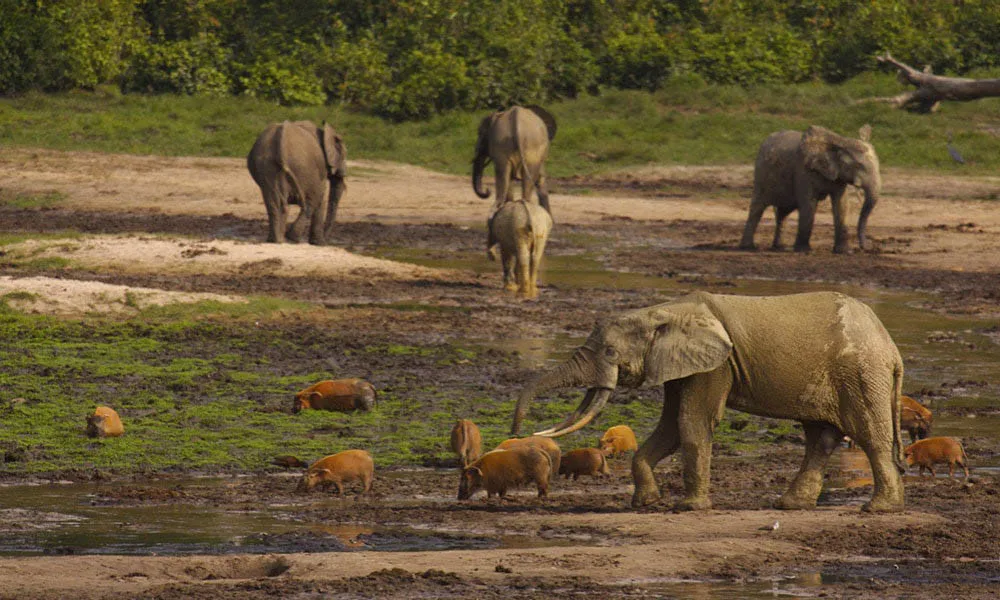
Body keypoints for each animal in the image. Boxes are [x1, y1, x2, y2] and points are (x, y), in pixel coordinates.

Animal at [472, 105, 560, 258]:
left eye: (480, 134)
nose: (487, 191)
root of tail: (517, 121)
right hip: (513, 147)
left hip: (508, 146)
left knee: (504, 184)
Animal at [512, 290, 912, 510]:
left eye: (610, 352)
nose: (516, 433)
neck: (663, 310)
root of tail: (892, 348)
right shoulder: (681, 366)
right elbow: (670, 428)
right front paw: (647, 503)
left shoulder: (715, 366)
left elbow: (692, 422)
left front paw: (687, 508)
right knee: (820, 437)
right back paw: (790, 505)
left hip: (860, 372)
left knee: (869, 434)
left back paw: (877, 510)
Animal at [740, 124, 880, 253]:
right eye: (859, 166)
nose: (867, 247)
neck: (840, 142)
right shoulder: (803, 171)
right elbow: (808, 204)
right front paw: (804, 250)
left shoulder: (839, 176)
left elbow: (841, 205)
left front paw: (844, 251)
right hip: (761, 175)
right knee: (757, 208)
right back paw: (748, 247)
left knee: (783, 213)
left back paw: (780, 247)